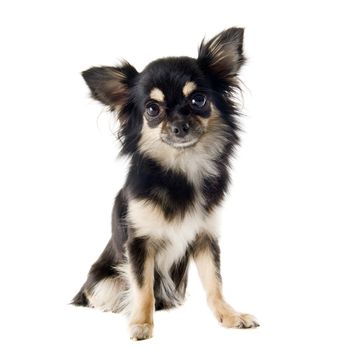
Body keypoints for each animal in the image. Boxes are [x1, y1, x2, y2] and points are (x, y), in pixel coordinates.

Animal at [73, 26, 260, 340]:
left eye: (198, 100)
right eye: (152, 109)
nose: (179, 126)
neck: (182, 169)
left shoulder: (205, 238)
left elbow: (214, 283)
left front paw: (229, 316)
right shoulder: (139, 244)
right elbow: (143, 288)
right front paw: (141, 323)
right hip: (103, 281)